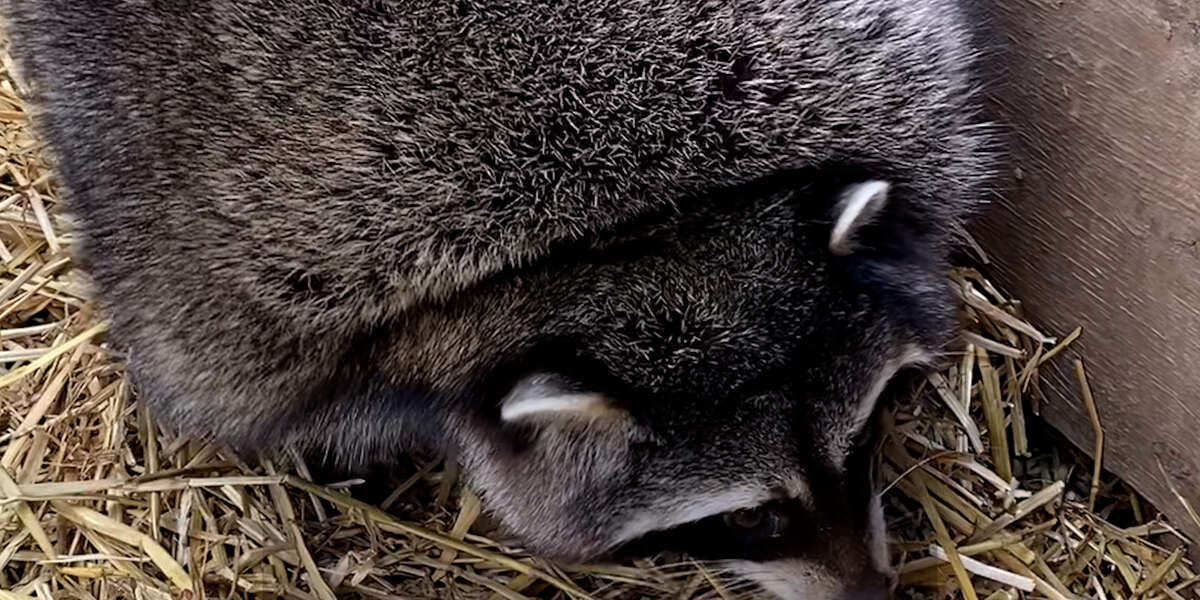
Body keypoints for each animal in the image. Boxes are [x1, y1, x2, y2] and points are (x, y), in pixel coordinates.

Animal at [2, 1, 995, 598]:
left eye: (861, 441)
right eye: (749, 516)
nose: (871, 593)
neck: (635, 234)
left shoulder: (874, 80)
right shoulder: (262, 316)